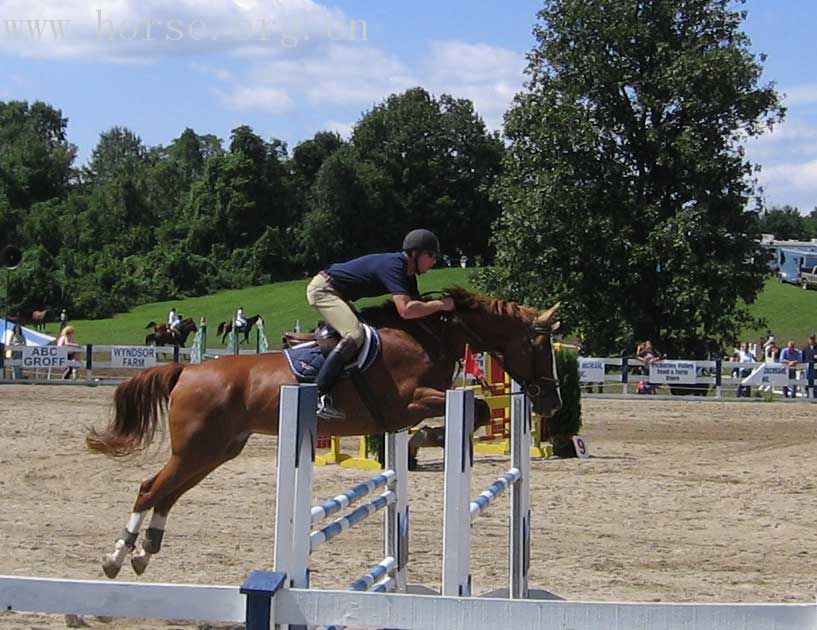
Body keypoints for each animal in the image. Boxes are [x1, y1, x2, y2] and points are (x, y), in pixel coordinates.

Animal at [84, 288, 560, 580]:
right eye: (538, 346)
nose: (552, 401)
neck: (428, 337)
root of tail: (187, 371)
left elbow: (471, 409)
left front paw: (421, 443)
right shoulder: (406, 403)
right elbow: (472, 408)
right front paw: (426, 440)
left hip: (214, 452)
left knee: (166, 492)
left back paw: (143, 553)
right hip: (196, 450)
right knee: (150, 490)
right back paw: (115, 557)